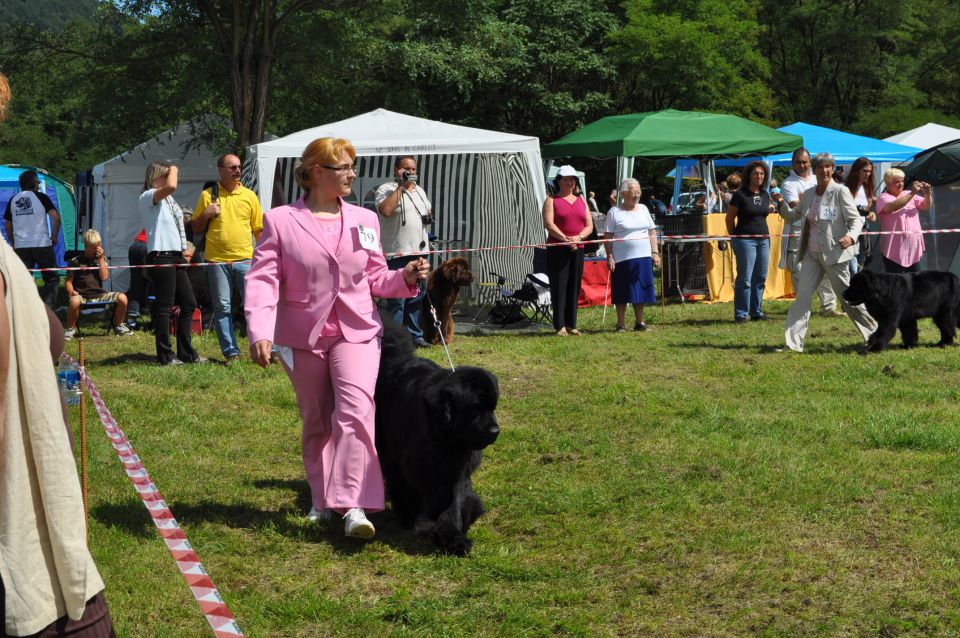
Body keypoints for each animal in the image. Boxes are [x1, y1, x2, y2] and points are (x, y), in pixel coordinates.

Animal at [374, 324, 498, 556]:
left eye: (492, 408)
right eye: (475, 408)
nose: (495, 431)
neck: (444, 436)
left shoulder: (456, 471)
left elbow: (453, 505)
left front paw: (453, 538)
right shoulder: (402, 461)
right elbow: (405, 489)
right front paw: (409, 517)